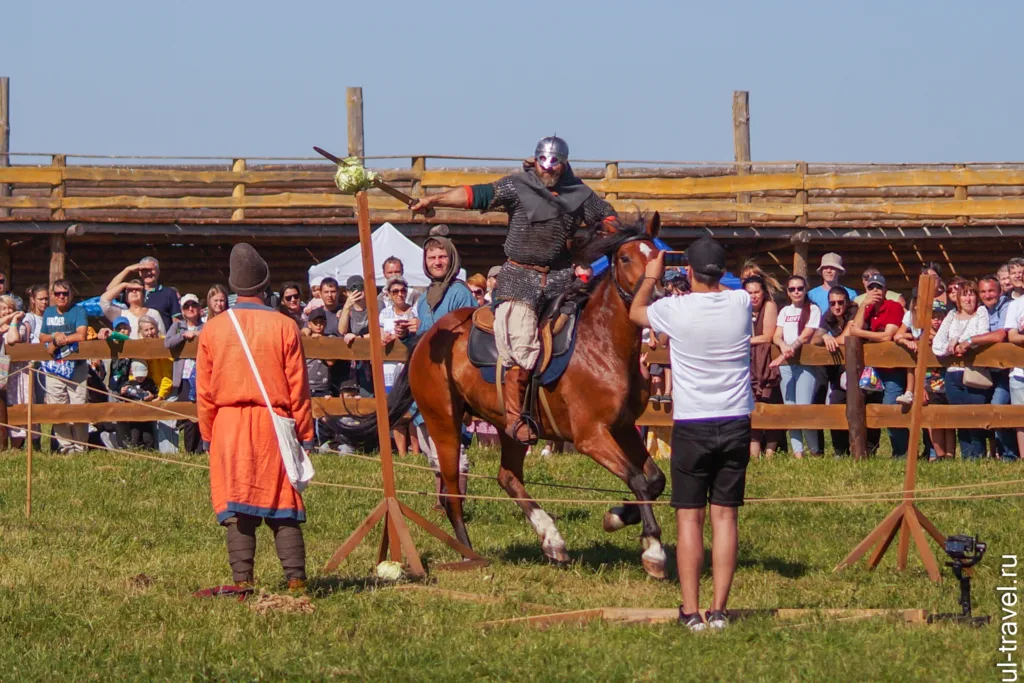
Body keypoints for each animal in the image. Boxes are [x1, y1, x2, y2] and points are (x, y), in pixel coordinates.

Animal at [339, 214, 667, 577]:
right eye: (625, 258)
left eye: (657, 255)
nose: (655, 297)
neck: (602, 344)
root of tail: (427, 338)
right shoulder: (591, 437)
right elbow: (638, 480)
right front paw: (653, 550)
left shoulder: (623, 428)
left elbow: (655, 480)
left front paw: (618, 517)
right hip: (445, 425)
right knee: (453, 493)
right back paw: (469, 553)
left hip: (512, 429)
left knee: (507, 477)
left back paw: (551, 539)